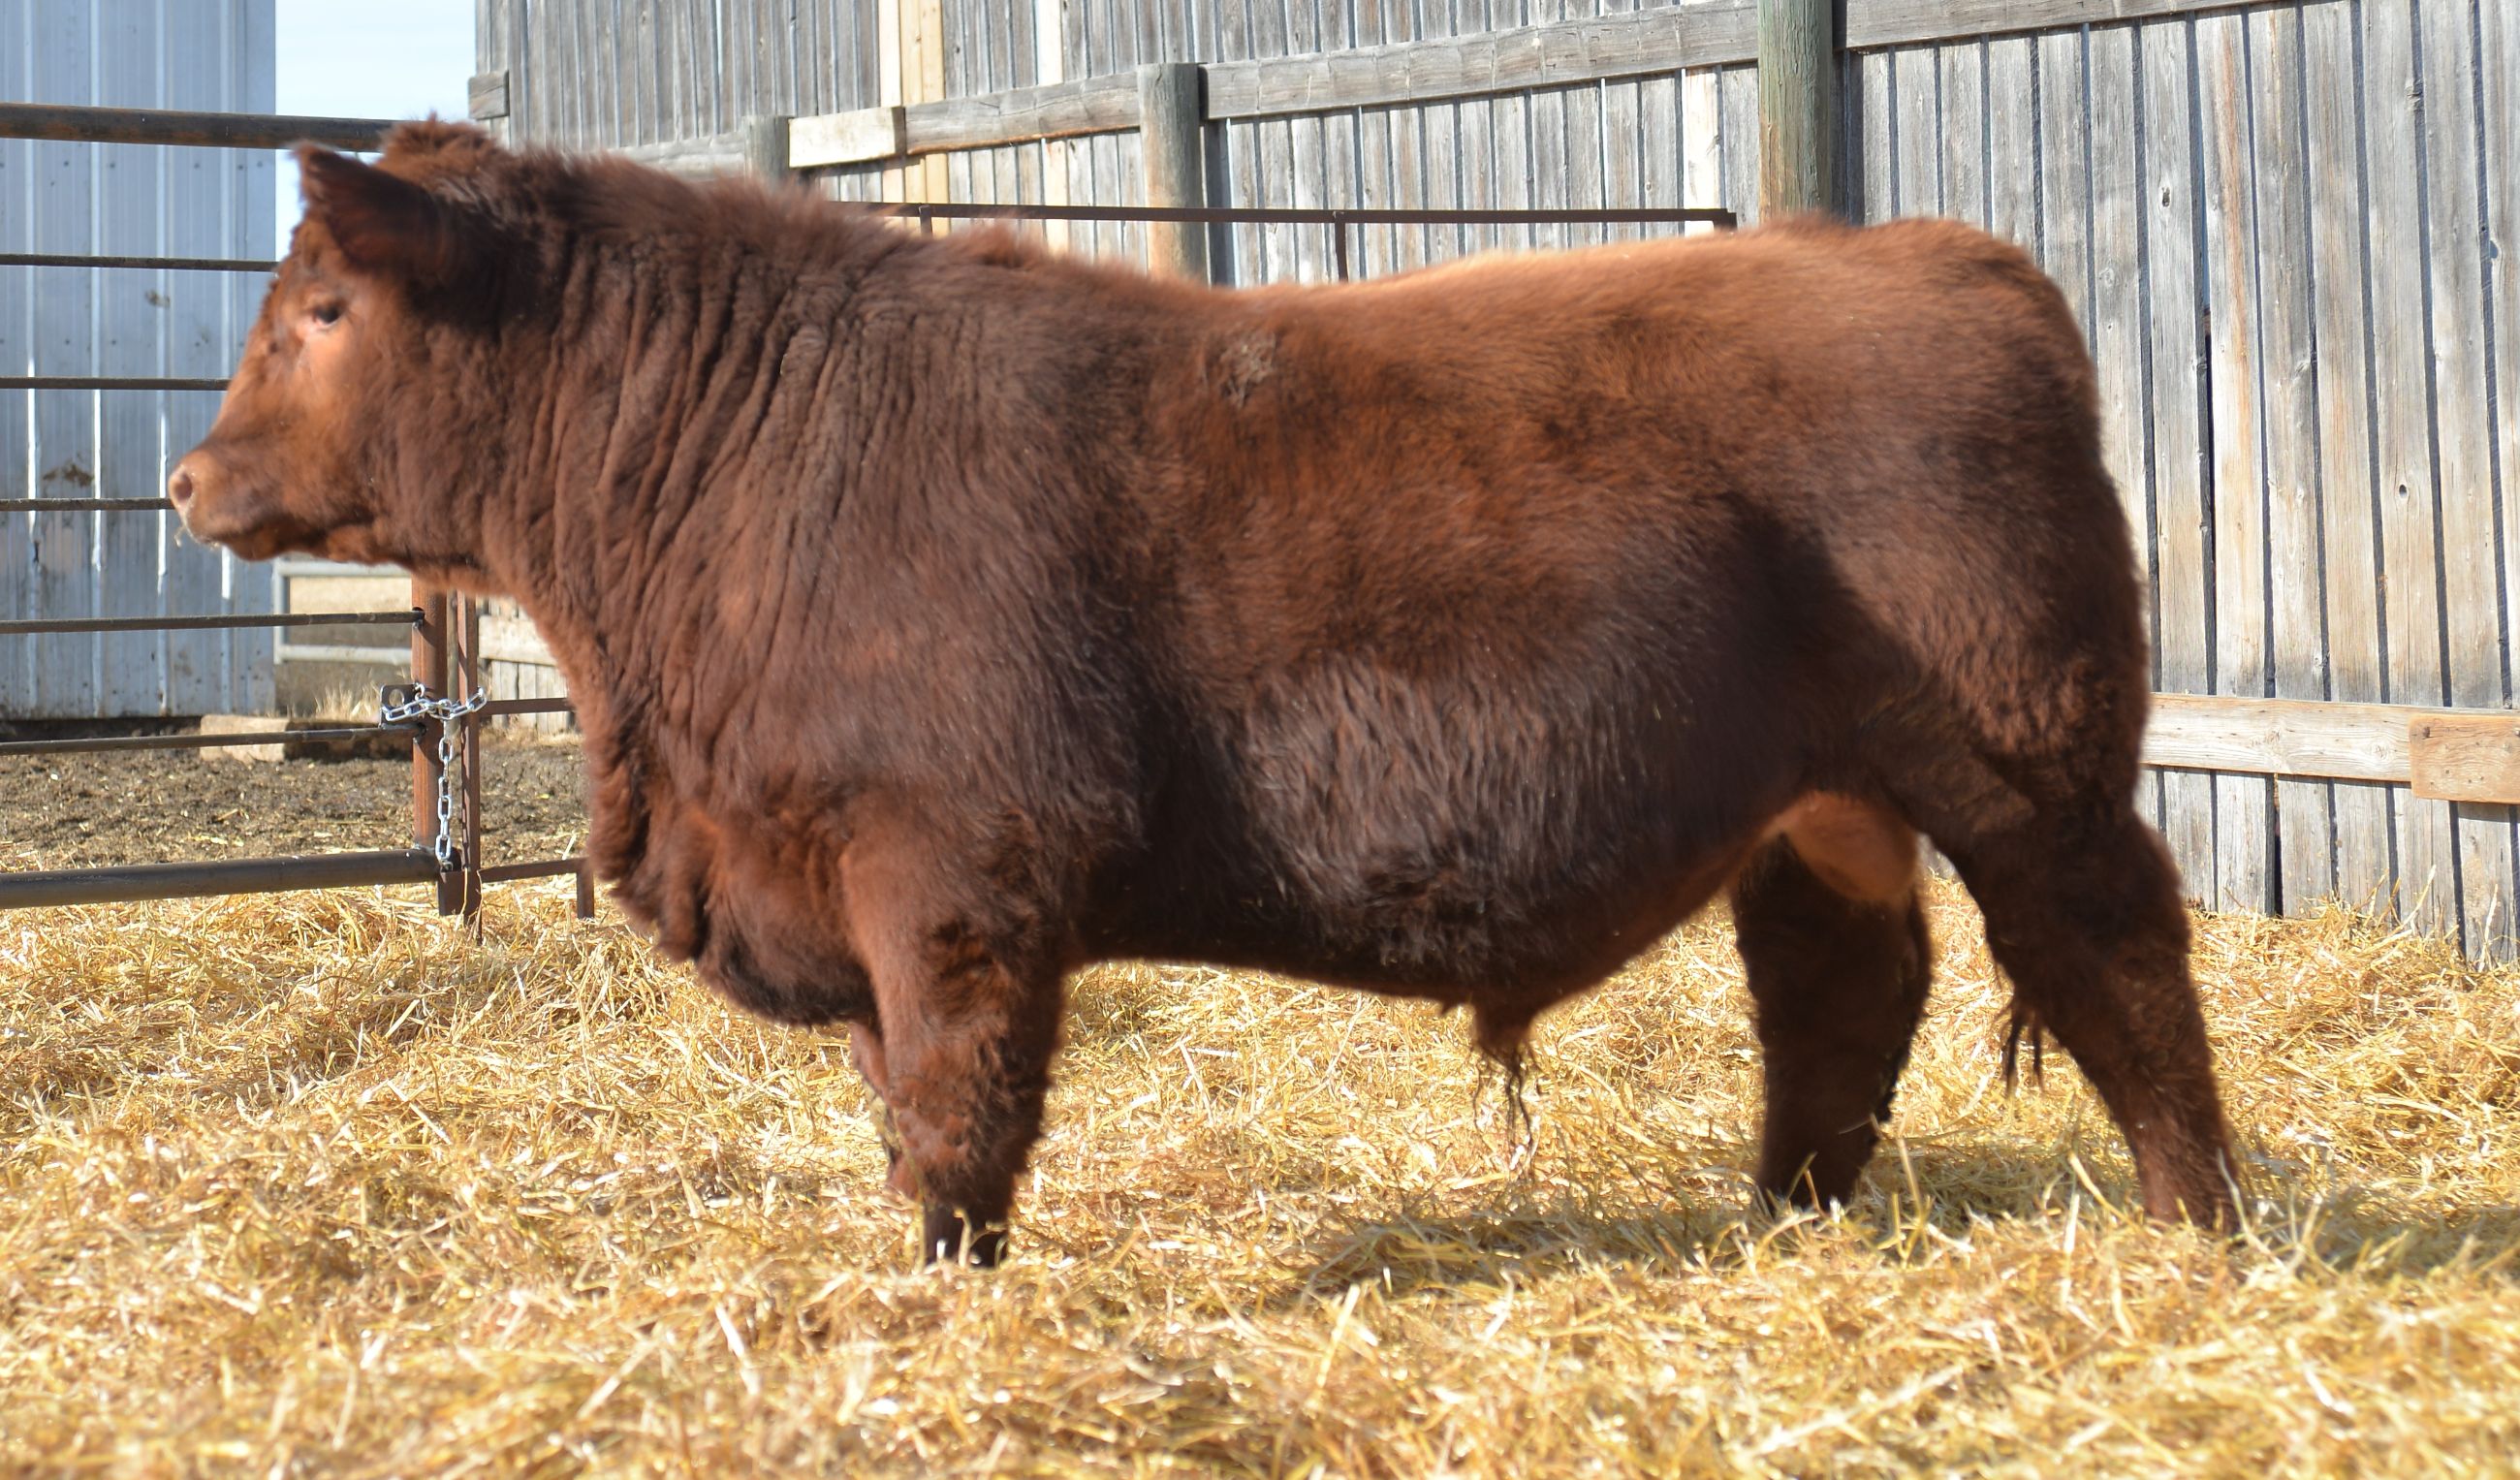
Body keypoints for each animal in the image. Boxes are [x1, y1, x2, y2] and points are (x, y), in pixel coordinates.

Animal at [172, 121, 2236, 1264]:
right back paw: (1785, 1214)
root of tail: (1934, 255)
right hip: (1822, 804)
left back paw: (2198, 1219)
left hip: (2028, 759)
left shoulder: (956, 869)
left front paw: (943, 1283)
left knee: (2115, 956)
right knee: (1838, 985)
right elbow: (900, 1094)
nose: (187, 482)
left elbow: (953, 1103)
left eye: (325, 310)